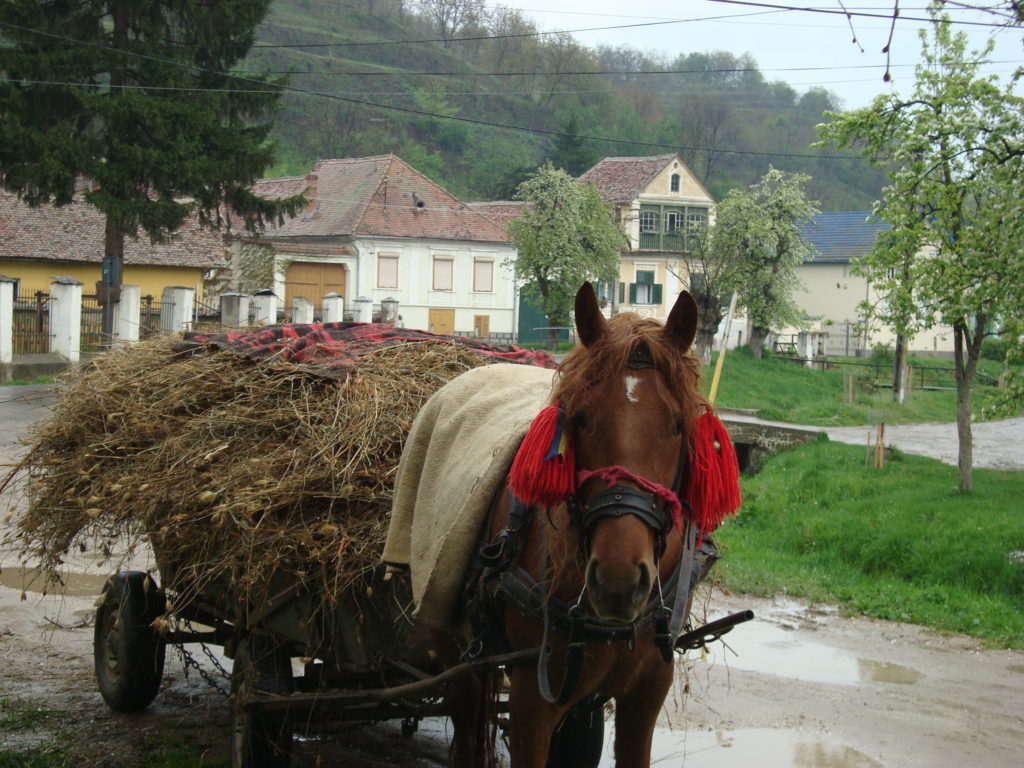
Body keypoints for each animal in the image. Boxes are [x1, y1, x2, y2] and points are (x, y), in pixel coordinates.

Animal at [444, 284, 708, 768]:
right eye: (581, 416)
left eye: (678, 425)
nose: (619, 580)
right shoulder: (532, 701)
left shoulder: (647, 691)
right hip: (455, 651)